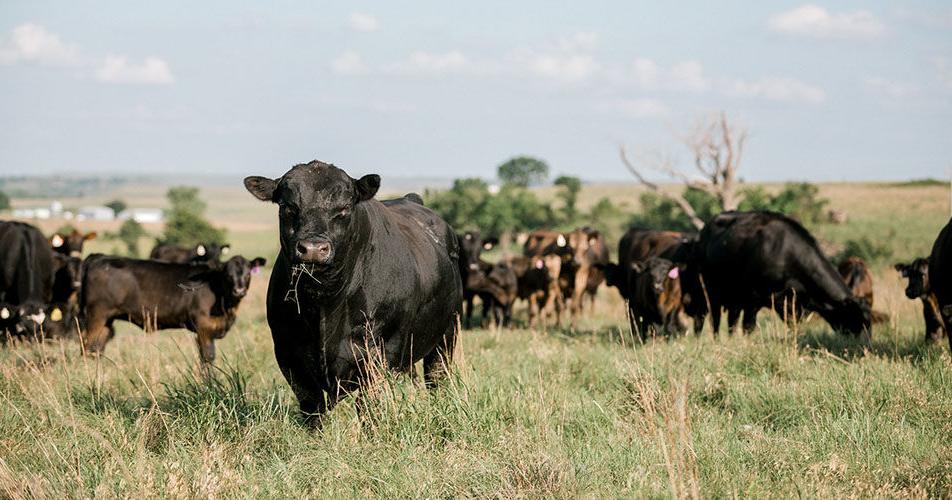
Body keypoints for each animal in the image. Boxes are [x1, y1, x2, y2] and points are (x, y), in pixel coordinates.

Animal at [79, 254, 266, 364]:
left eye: (248, 273)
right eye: (228, 274)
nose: (239, 290)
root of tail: (99, 257)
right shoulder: (203, 328)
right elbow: (207, 358)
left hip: (106, 321)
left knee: (96, 349)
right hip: (97, 315)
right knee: (86, 346)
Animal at [244, 160, 463, 426]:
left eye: (344, 208)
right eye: (287, 206)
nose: (314, 249)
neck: (325, 302)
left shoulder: (383, 350)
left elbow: (369, 405)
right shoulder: (288, 351)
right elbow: (312, 407)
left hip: (447, 334)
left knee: (437, 378)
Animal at [695, 211, 870, 335]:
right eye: (856, 318)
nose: (864, 346)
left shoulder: (793, 306)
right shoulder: (754, 300)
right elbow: (748, 327)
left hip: (735, 298)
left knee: (731, 322)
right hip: (711, 293)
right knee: (714, 321)